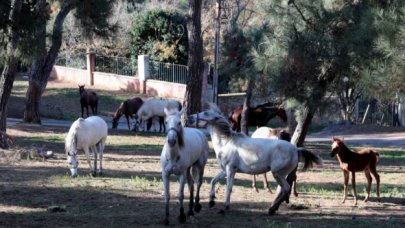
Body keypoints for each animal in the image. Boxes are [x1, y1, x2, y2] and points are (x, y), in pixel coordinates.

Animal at [187, 105, 322, 216]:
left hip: (277, 173)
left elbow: (229, 188)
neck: (227, 142)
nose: (189, 117)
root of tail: (295, 149)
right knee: (284, 189)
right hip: (280, 174)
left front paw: (224, 207)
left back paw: (272, 209)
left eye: (205, 113)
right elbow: (213, 181)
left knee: (285, 188)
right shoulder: (225, 170)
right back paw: (273, 208)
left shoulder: (230, 170)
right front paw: (211, 201)